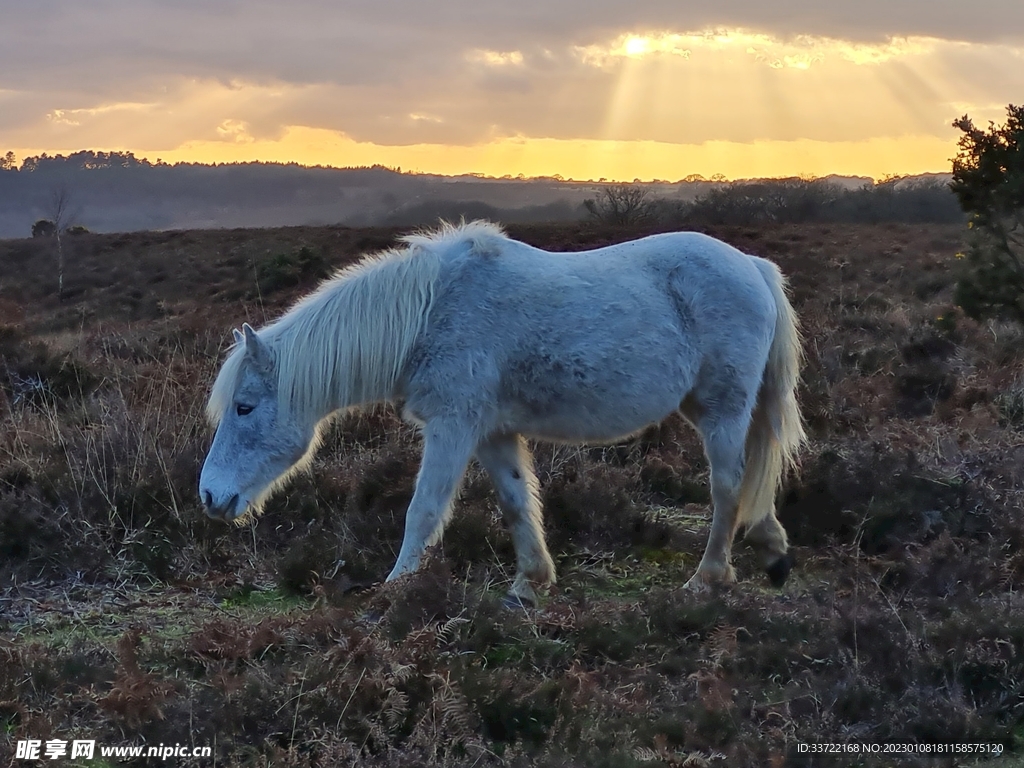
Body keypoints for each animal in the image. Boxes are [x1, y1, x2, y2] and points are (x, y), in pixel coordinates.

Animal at [199, 222, 802, 606]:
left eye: (244, 407)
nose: (210, 497)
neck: (430, 313)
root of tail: (751, 266)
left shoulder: (453, 426)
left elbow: (424, 509)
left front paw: (394, 590)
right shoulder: (491, 432)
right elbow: (516, 502)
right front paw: (530, 584)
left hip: (724, 409)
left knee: (727, 486)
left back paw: (709, 579)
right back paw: (772, 550)